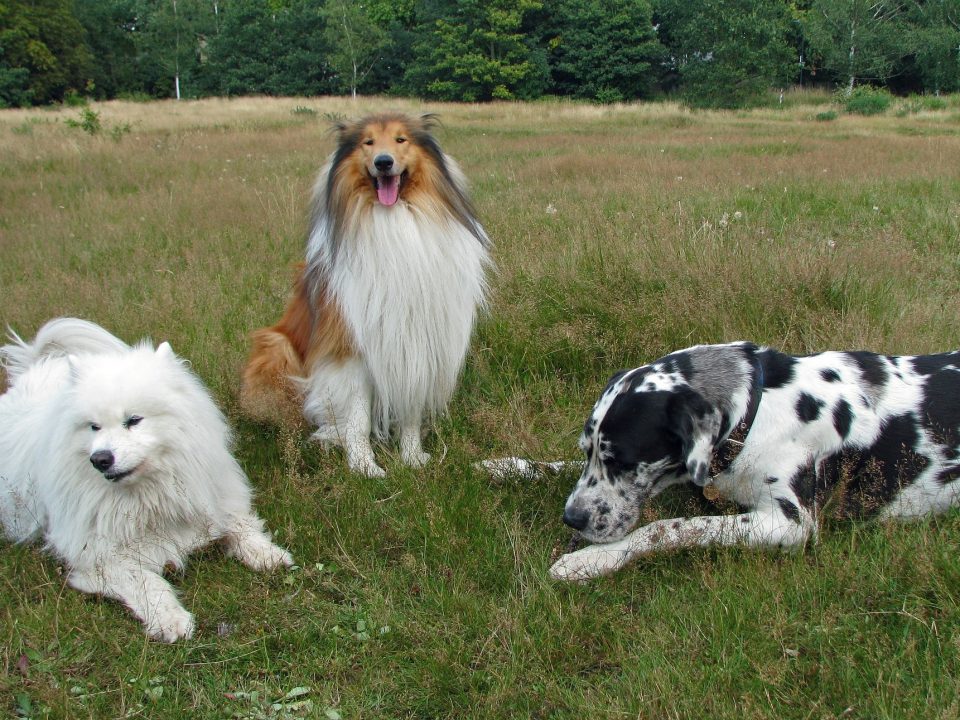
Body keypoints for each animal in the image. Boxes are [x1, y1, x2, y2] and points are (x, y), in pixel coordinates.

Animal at [0, 320, 292, 640]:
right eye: (94, 427)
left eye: (133, 420)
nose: (100, 459)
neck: (151, 494)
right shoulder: (102, 558)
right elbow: (147, 582)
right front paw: (171, 619)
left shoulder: (215, 501)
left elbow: (242, 528)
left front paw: (269, 554)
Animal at [244, 114, 492, 478]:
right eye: (368, 142)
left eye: (401, 140)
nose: (383, 163)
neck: (391, 220)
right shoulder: (351, 346)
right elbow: (358, 417)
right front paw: (363, 465)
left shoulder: (415, 340)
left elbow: (410, 408)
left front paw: (412, 456)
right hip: (277, 348)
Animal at [488, 340, 960, 584]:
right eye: (587, 449)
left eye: (622, 460)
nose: (572, 519)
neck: (758, 409)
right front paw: (511, 466)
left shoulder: (789, 522)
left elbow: (669, 527)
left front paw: (591, 560)